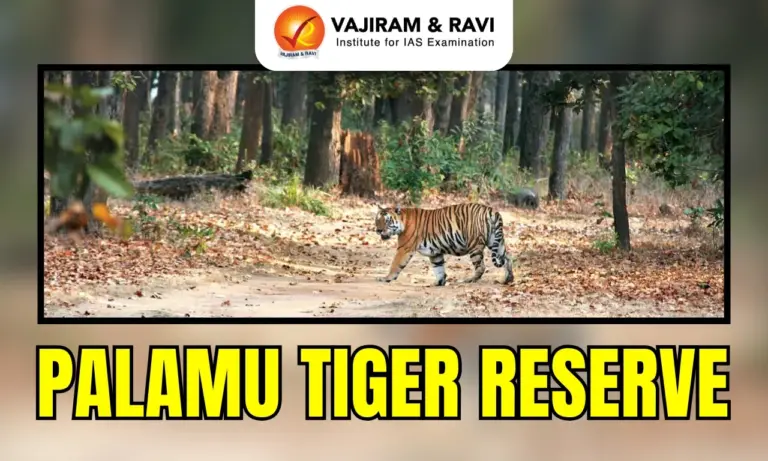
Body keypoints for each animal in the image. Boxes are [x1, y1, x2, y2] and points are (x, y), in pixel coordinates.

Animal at [374, 203, 515, 286]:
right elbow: (439, 268)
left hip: (474, 245)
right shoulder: (434, 252)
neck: (403, 221)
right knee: (507, 258)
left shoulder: (404, 248)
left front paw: (386, 278)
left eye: (387, 221)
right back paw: (507, 279)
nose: (378, 230)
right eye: (377, 220)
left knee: (481, 266)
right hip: (496, 241)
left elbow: (395, 265)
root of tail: (491, 211)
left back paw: (469, 280)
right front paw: (438, 282)